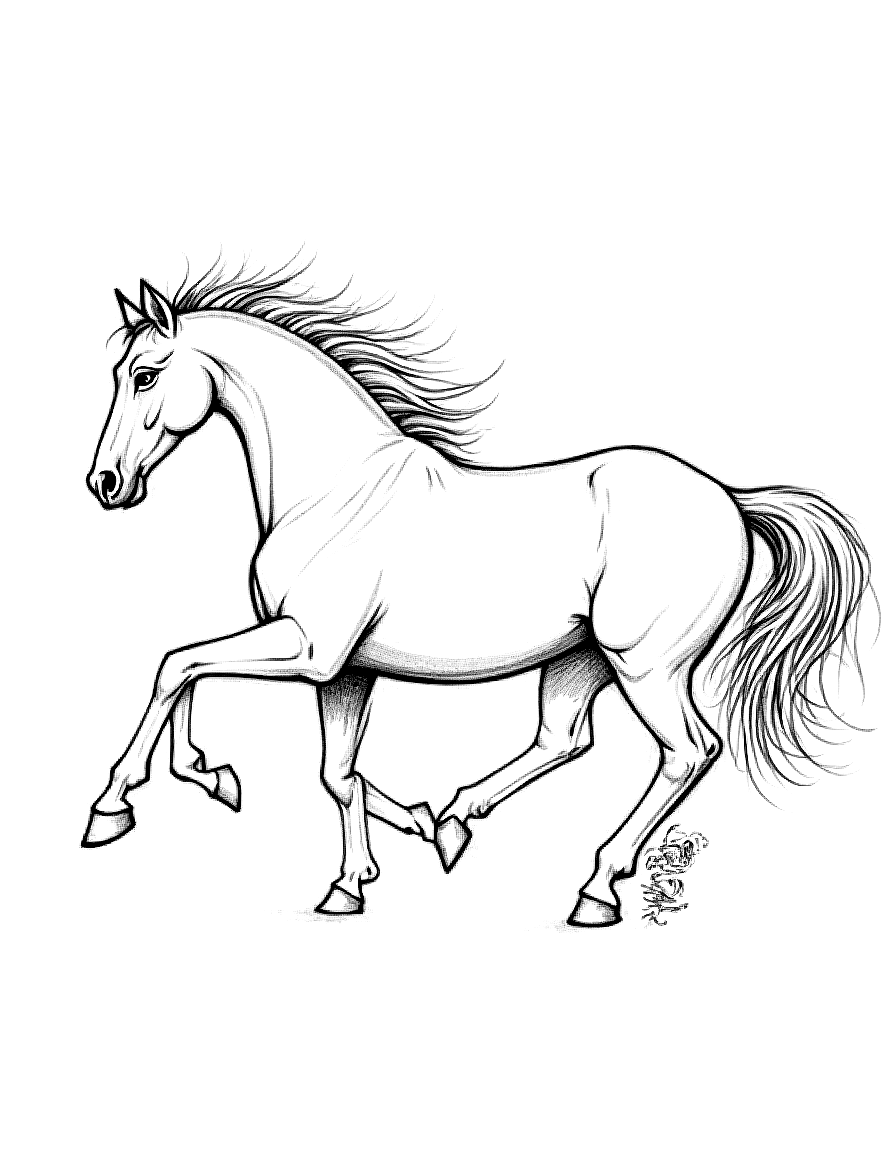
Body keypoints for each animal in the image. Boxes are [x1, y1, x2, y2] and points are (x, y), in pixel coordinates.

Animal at [84, 260, 872, 927]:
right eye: (119, 372)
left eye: (146, 374)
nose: (106, 484)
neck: (336, 490)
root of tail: (733, 500)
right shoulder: (345, 671)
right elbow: (337, 773)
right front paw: (353, 876)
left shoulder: (309, 648)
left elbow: (178, 665)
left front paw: (123, 803)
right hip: (582, 660)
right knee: (563, 738)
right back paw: (455, 821)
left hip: (647, 666)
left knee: (689, 752)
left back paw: (595, 890)